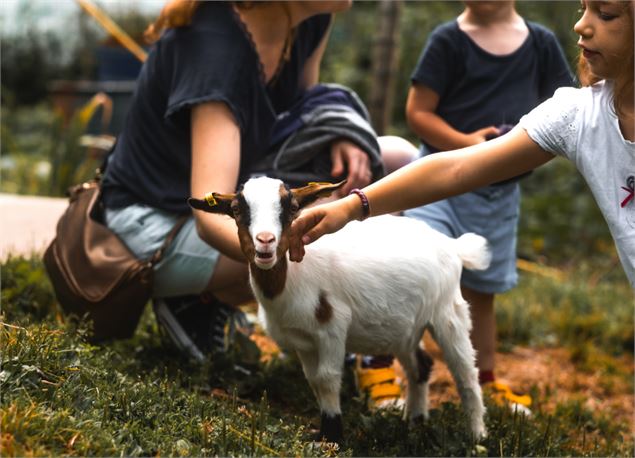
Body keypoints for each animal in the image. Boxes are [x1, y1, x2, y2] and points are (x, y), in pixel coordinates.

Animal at [189, 178, 492, 444]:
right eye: (237, 209)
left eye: (292, 208)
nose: (265, 241)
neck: (289, 282)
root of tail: (453, 245)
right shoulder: (303, 340)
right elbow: (313, 380)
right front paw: (325, 432)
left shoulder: (331, 327)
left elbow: (327, 378)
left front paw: (332, 437)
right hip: (407, 327)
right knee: (421, 365)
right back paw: (415, 422)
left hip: (448, 312)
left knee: (466, 373)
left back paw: (476, 436)